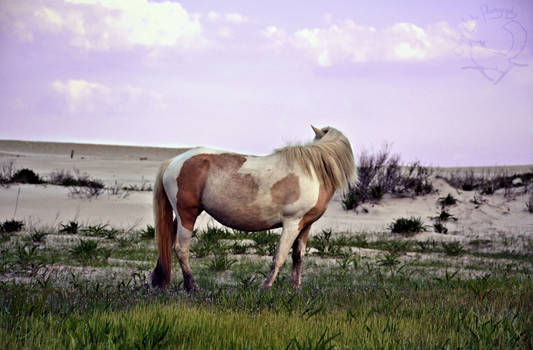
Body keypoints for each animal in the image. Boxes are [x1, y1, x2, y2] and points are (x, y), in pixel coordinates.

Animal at [151, 125, 354, 290]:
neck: (313, 172)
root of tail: (174, 162)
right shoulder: (291, 223)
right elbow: (279, 256)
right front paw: (265, 287)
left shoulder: (305, 225)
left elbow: (298, 256)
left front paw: (295, 288)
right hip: (187, 214)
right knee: (181, 248)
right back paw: (192, 286)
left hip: (183, 214)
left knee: (168, 241)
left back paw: (159, 281)